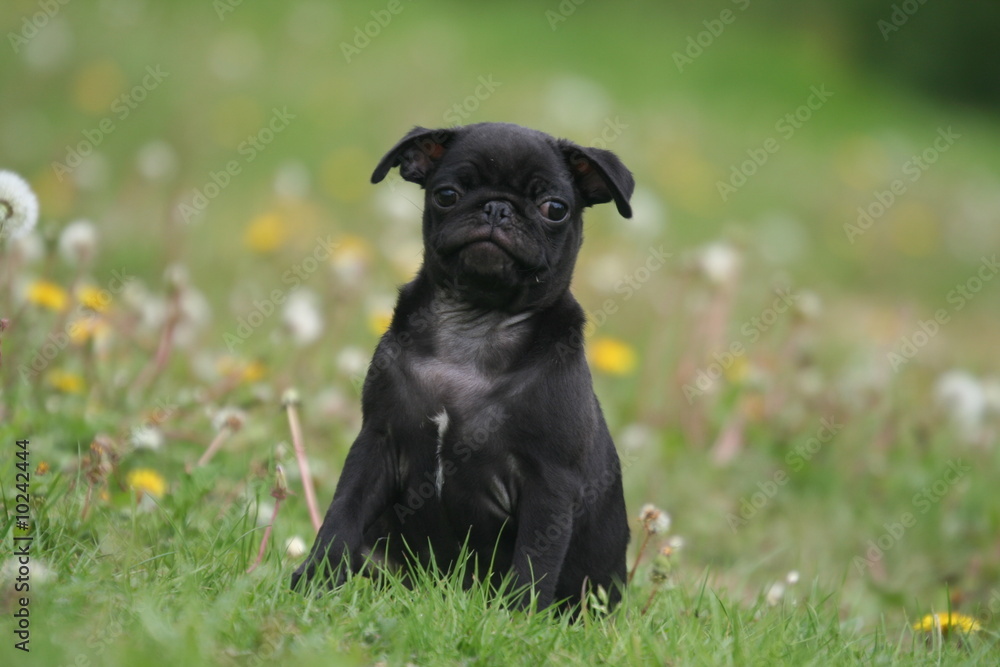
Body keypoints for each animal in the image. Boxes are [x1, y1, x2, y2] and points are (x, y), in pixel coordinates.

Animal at [292, 122, 632, 612]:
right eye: (447, 195)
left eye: (555, 208)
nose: (497, 207)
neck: (475, 324)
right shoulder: (376, 443)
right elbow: (341, 515)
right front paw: (314, 580)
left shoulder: (549, 484)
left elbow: (535, 560)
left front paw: (517, 618)